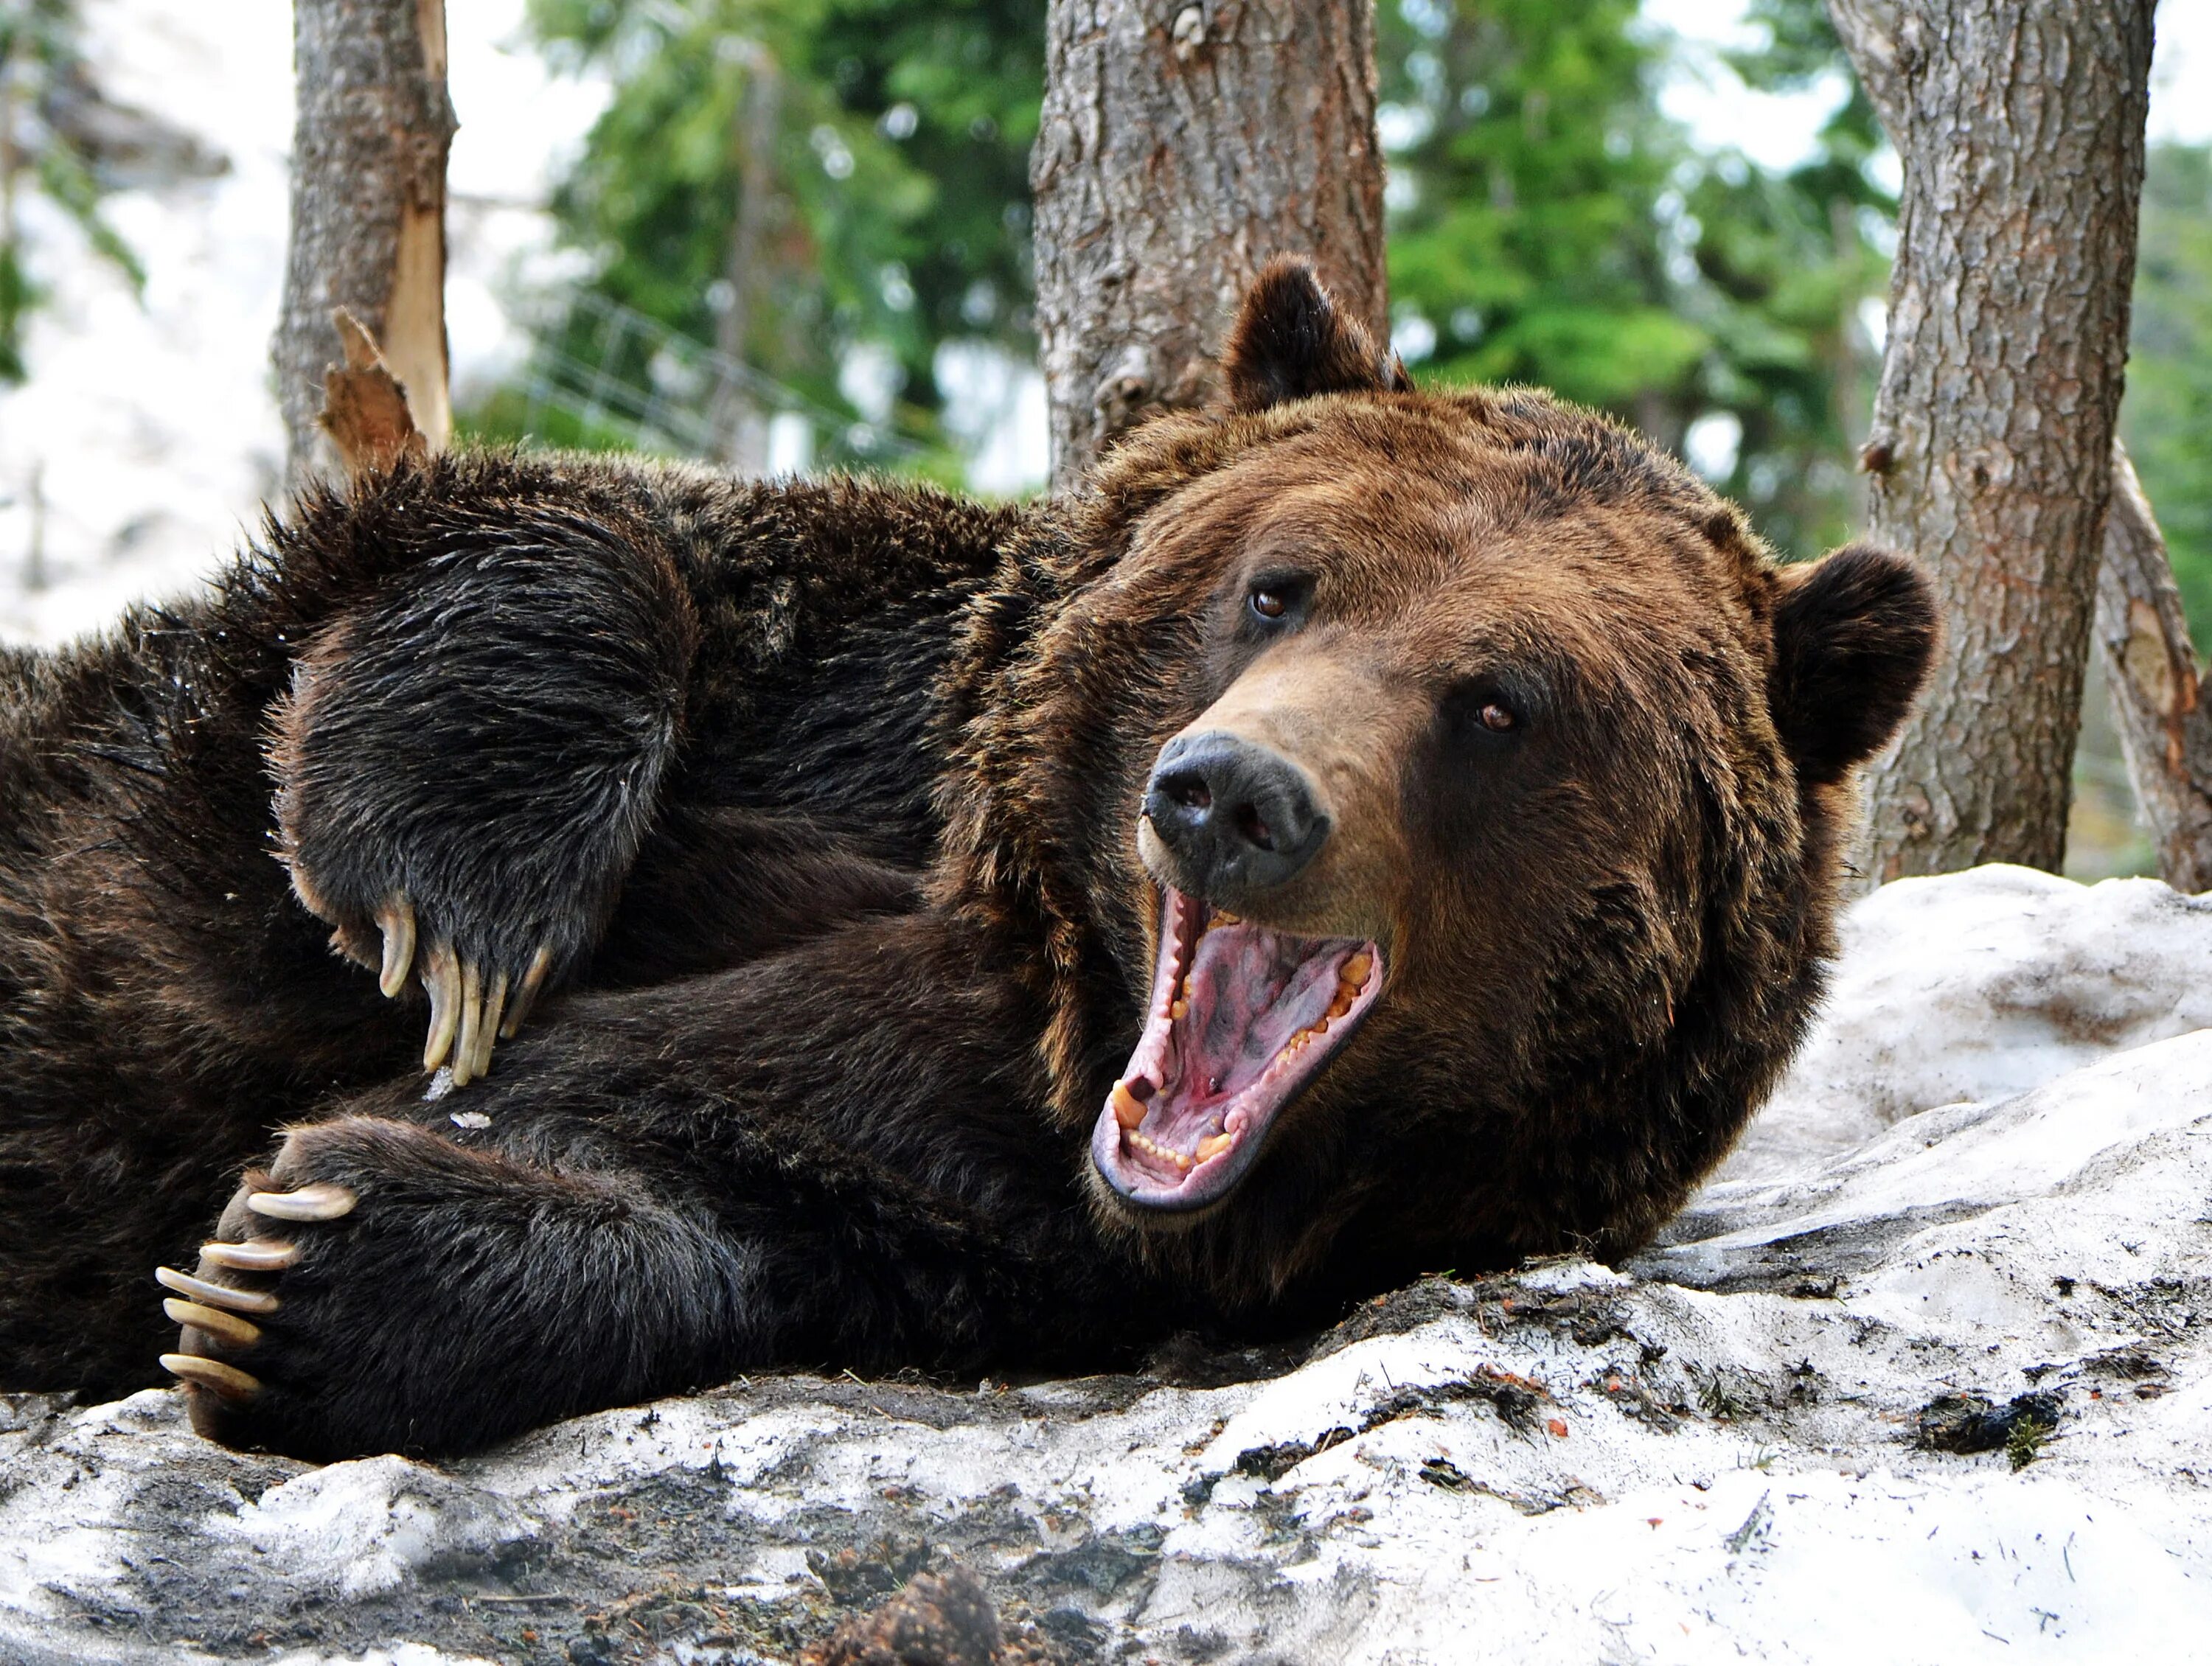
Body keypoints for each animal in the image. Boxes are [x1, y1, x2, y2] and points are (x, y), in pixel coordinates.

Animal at [0, 259, 1938, 1451]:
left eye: (1497, 701)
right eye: (1276, 584)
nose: (1232, 794)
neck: (1051, 1000)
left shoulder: (989, 1221)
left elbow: (725, 1203)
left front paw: (301, 1253)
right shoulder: (851, 683)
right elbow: (538, 543)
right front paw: (458, 913)